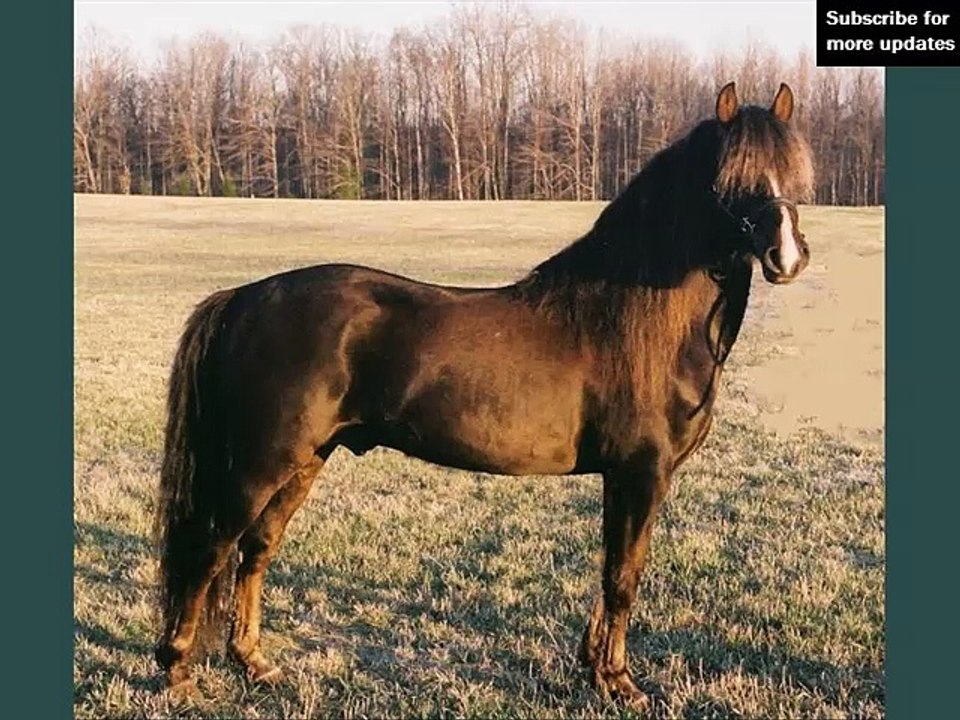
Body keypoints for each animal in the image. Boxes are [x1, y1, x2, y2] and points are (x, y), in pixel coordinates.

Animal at [154, 81, 814, 705]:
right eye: (729, 181)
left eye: (794, 175)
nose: (786, 257)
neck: (634, 322)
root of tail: (243, 298)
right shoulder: (639, 472)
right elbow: (623, 577)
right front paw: (621, 682)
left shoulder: (628, 477)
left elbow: (612, 571)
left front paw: (595, 668)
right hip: (261, 462)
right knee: (210, 547)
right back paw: (178, 673)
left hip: (307, 459)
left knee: (256, 550)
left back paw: (254, 663)